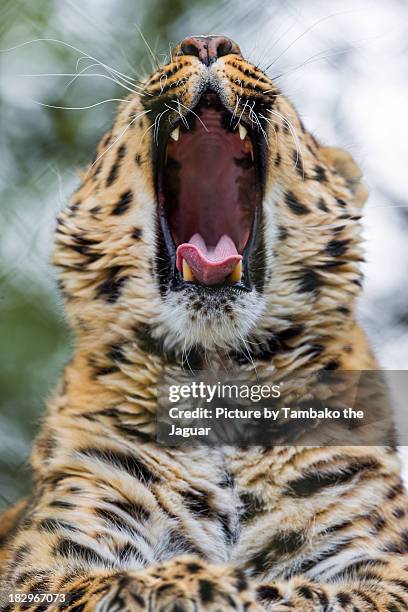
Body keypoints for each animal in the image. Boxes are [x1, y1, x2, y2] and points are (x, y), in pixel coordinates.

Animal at [0, 34, 408, 612]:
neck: (219, 383)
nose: (208, 42)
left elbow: (303, 592)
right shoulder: (47, 564)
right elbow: (119, 579)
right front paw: (187, 582)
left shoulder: (381, 570)